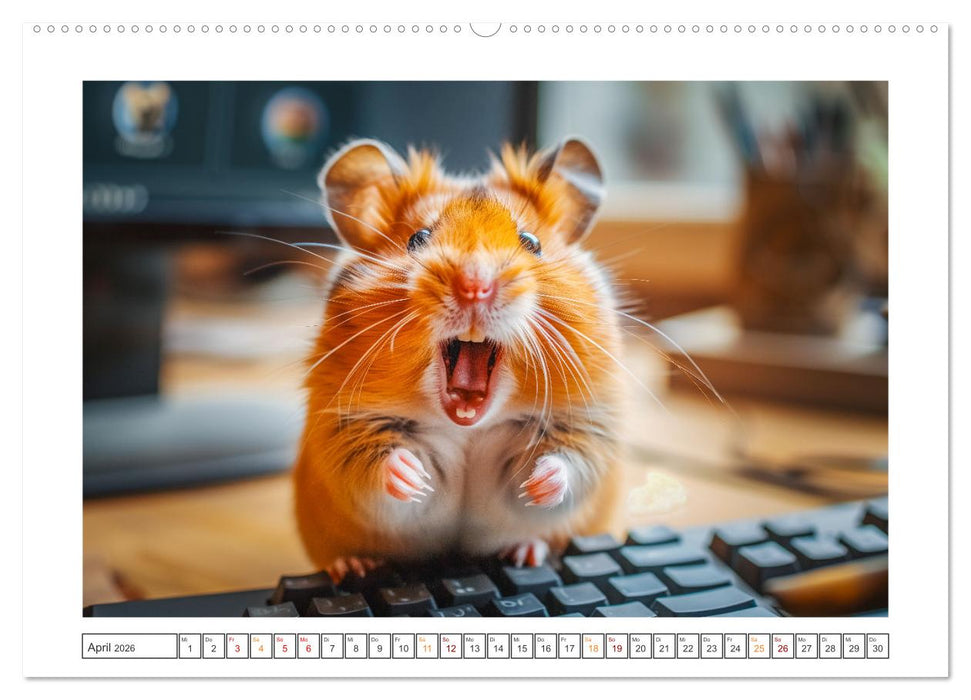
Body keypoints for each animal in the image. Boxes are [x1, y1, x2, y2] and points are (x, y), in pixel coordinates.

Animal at [293, 137, 625, 578]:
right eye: (417, 238)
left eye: (531, 242)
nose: (474, 285)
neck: (468, 426)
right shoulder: (343, 427)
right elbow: (376, 463)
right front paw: (412, 477)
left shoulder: (588, 422)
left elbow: (568, 463)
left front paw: (539, 485)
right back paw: (353, 565)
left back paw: (526, 552)